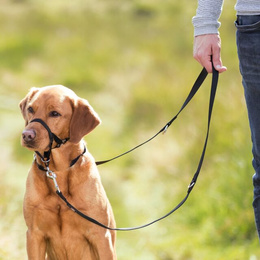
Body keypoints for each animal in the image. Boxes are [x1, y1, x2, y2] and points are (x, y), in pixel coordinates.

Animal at [20, 85, 117, 258]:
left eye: (54, 113)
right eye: (30, 109)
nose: (27, 135)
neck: (57, 170)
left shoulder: (100, 236)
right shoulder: (34, 235)